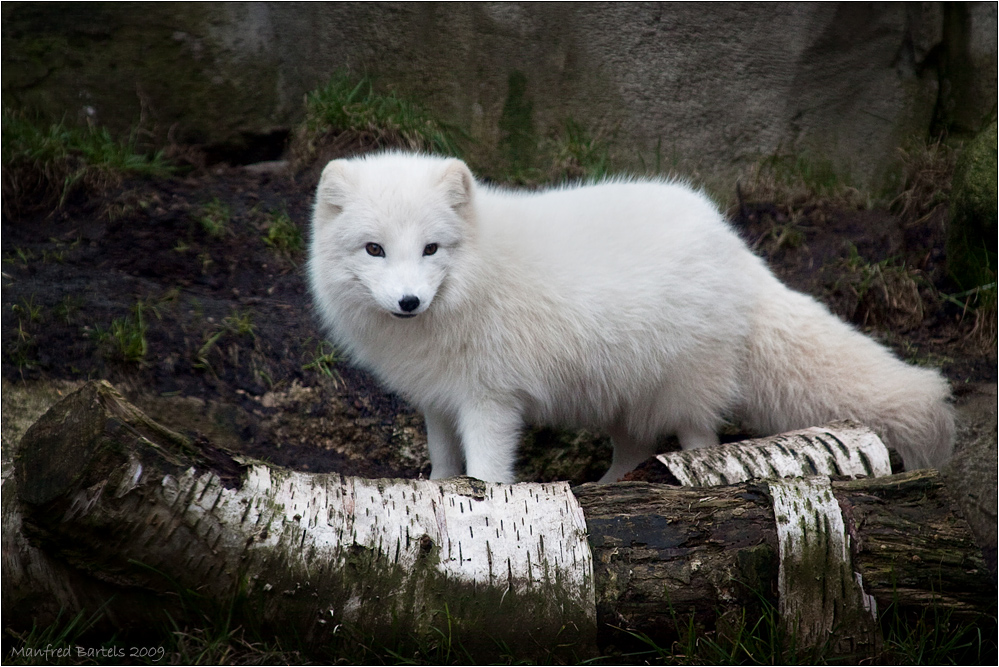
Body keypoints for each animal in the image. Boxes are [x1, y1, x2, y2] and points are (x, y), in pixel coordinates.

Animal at [308, 153, 956, 482]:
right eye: (374, 250)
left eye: (431, 249)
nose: (408, 302)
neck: (477, 274)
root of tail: (734, 247)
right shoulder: (438, 399)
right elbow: (444, 464)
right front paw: (440, 496)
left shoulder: (490, 400)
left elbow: (486, 469)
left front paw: (488, 499)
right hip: (623, 394)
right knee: (634, 451)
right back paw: (606, 491)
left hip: (684, 388)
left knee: (699, 442)